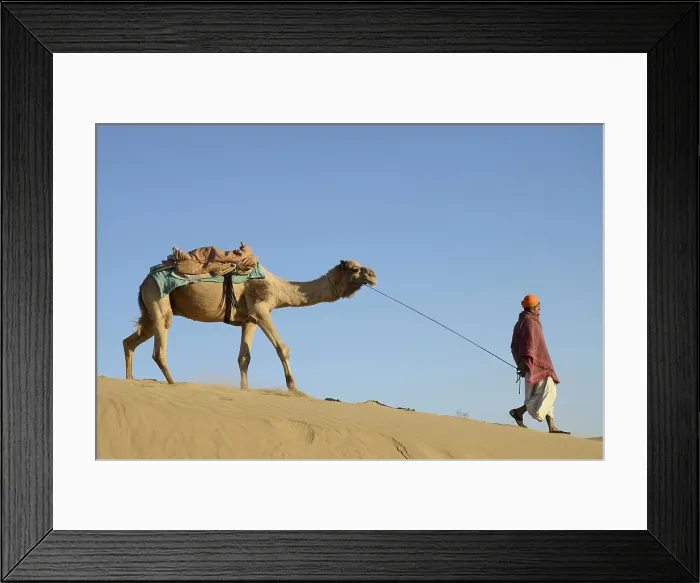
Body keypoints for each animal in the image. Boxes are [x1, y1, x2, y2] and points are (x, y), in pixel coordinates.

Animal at [123, 259, 378, 391]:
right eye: (354, 269)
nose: (373, 274)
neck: (277, 288)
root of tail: (143, 282)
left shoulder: (249, 320)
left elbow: (244, 358)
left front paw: (245, 390)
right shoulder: (261, 309)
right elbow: (282, 348)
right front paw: (294, 388)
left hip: (150, 311)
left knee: (130, 341)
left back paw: (130, 380)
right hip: (158, 299)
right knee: (159, 347)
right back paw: (174, 384)